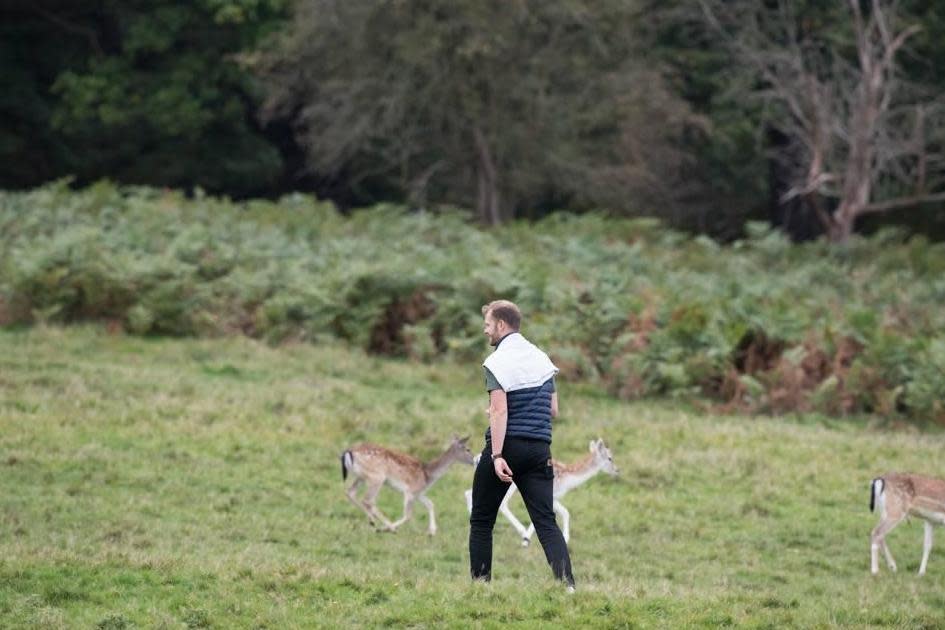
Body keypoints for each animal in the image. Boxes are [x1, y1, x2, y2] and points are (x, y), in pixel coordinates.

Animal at [340, 436, 476, 536]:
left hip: (361, 477)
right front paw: (387, 529)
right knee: (368, 500)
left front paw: (432, 531)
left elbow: (430, 504)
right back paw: (387, 527)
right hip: (377, 477)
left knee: (350, 492)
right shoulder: (410, 491)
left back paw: (372, 521)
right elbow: (408, 515)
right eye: (467, 449)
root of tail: (348, 452)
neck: (427, 475)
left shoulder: (419, 493)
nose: (473, 460)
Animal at [464, 440, 620, 548]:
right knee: (502, 504)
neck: (567, 479)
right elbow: (558, 514)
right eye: (610, 458)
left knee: (468, 493)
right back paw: (521, 532)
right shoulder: (551, 495)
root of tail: (476, 459)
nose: (617, 470)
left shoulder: (554, 497)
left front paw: (565, 538)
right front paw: (526, 540)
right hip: (507, 484)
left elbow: (564, 512)